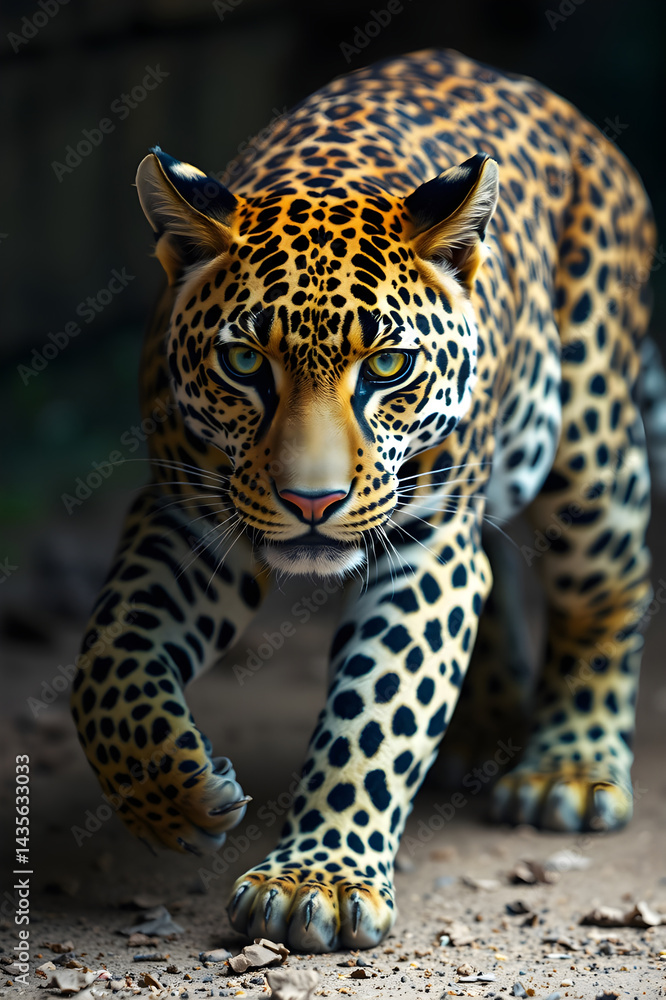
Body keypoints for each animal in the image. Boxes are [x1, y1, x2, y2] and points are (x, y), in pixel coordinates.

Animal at [70, 48, 657, 953]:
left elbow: (376, 711)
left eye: (386, 366)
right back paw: (484, 725)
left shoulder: (427, 545)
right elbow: (107, 655)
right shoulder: (187, 520)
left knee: (607, 590)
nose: (313, 502)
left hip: (591, 449)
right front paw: (171, 795)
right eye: (244, 362)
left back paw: (571, 767)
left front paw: (318, 881)